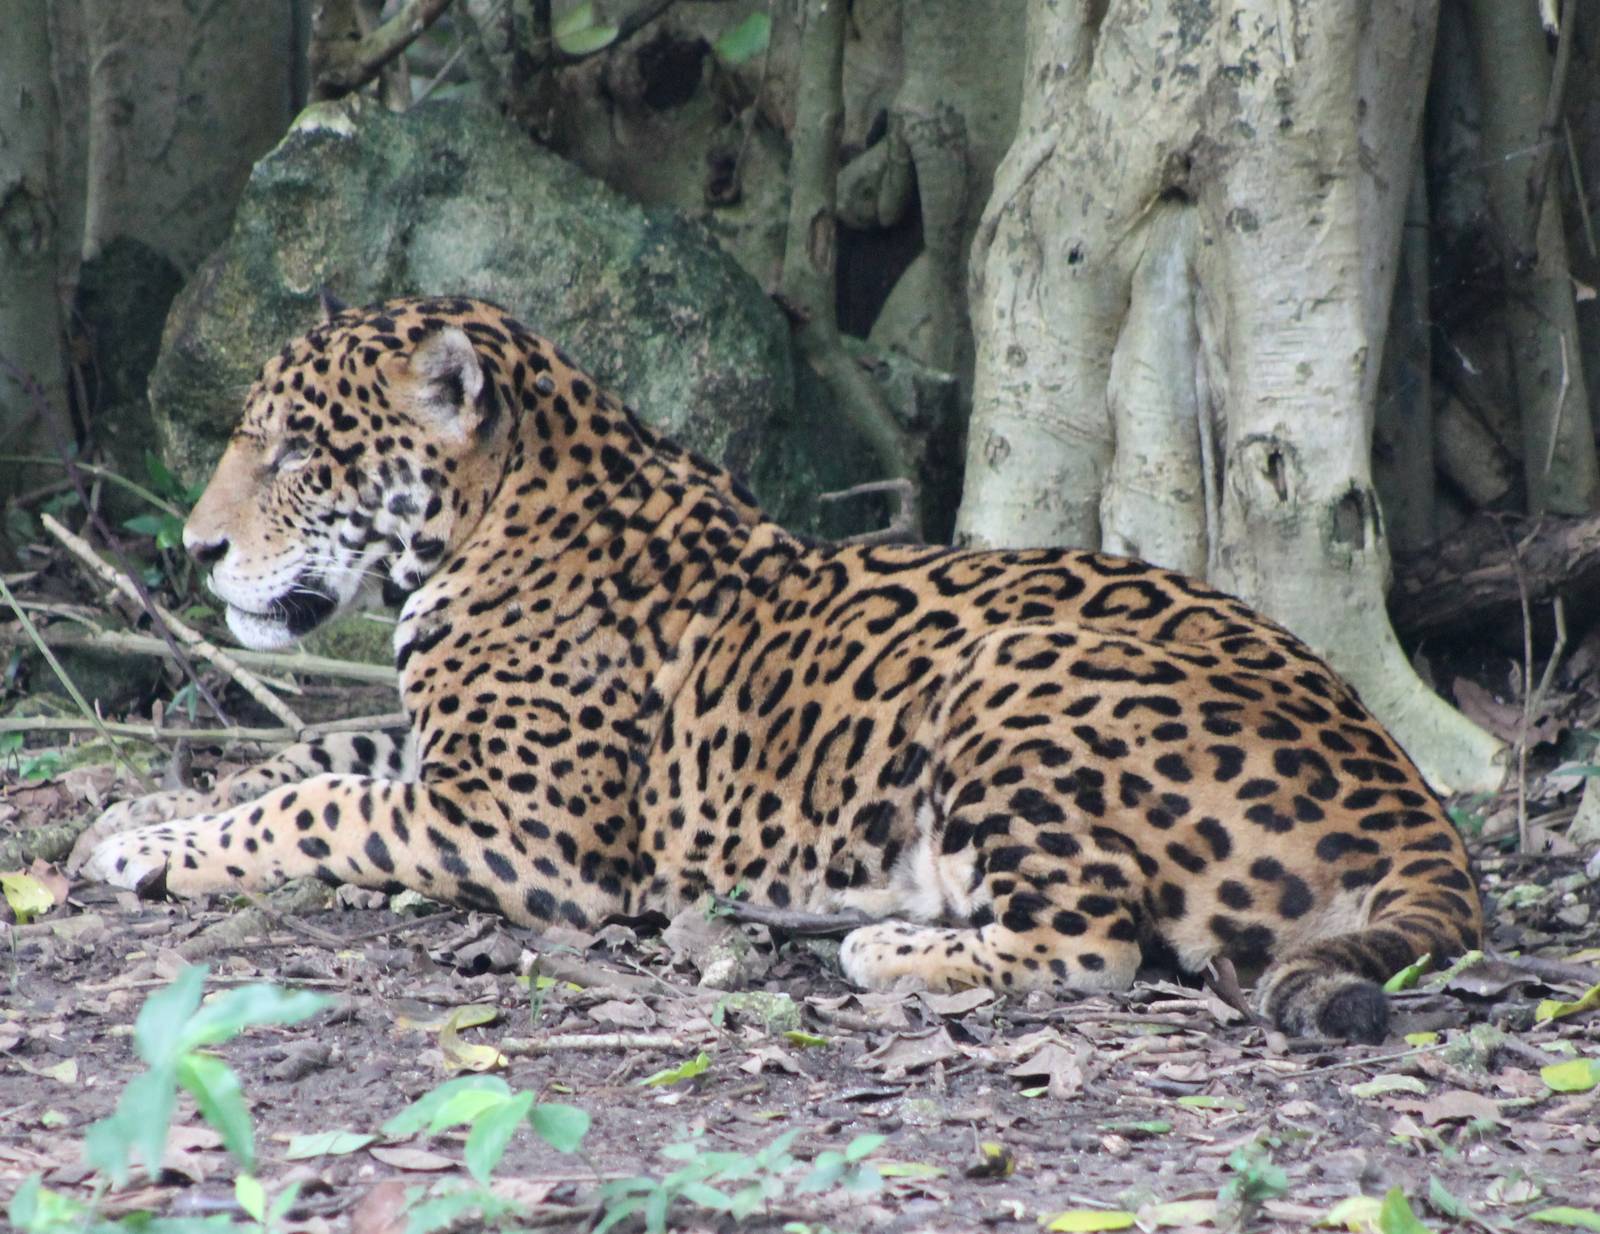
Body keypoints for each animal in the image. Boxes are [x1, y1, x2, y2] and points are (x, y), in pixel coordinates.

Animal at [72, 295, 1483, 1043]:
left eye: (299, 452)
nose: (195, 549)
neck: (483, 532)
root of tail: (1402, 786)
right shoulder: (441, 756)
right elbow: (310, 749)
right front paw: (142, 807)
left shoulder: (523, 830)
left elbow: (320, 803)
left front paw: (156, 848)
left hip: (1015, 671)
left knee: (1100, 944)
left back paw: (888, 952)